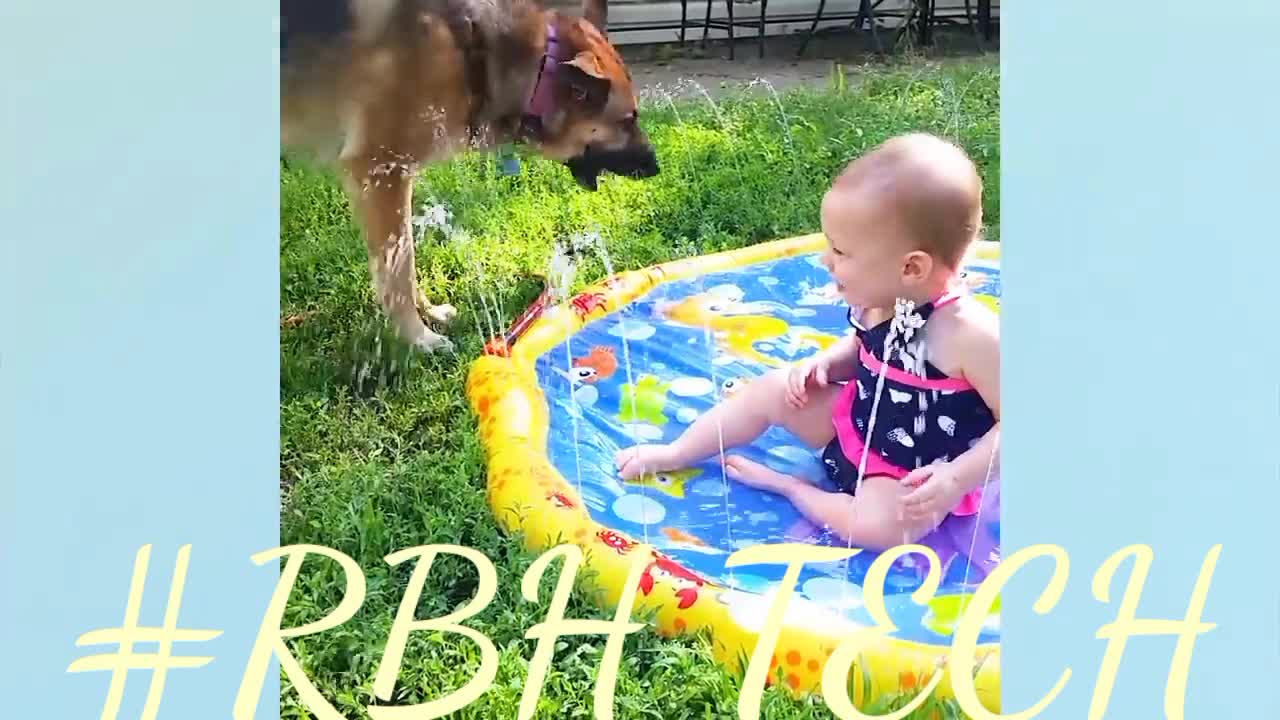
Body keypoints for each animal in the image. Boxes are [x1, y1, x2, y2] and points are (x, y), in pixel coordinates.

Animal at [281, 0, 660, 351]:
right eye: (628, 120)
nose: (657, 167)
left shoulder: (391, 179)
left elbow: (403, 258)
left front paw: (429, 313)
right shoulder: (380, 173)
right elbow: (398, 270)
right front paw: (418, 338)